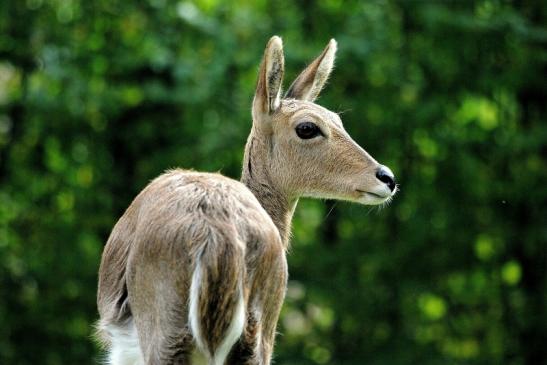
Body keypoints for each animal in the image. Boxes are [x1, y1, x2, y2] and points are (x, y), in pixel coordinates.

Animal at [96, 36, 398, 364]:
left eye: (338, 120)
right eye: (307, 127)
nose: (387, 177)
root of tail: (217, 236)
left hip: (167, 330)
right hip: (255, 335)